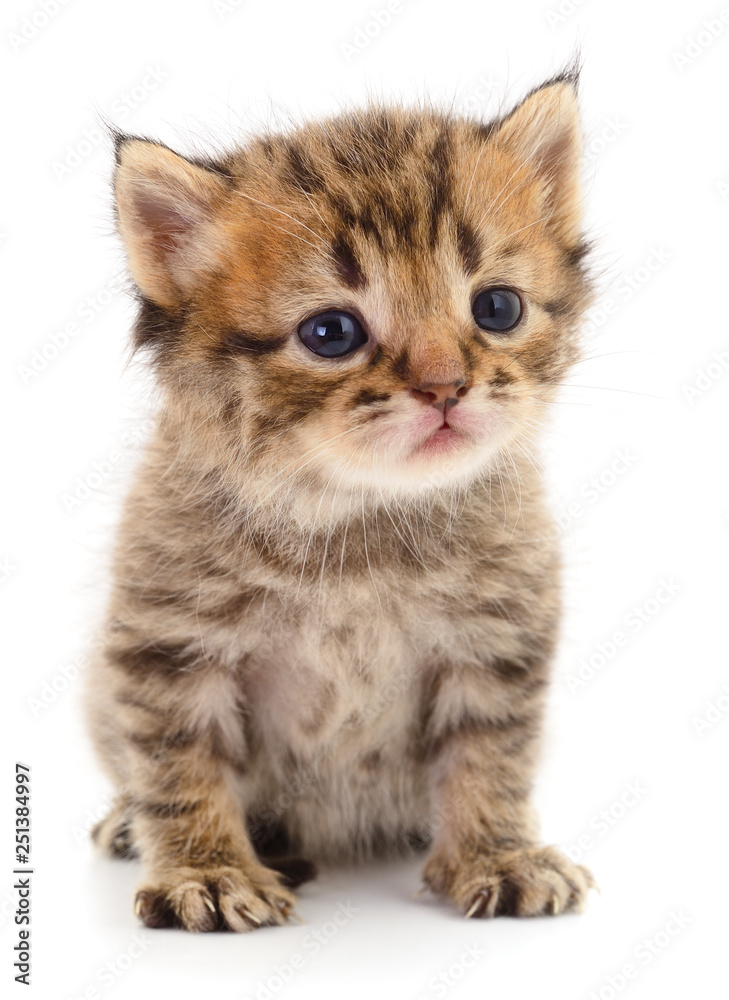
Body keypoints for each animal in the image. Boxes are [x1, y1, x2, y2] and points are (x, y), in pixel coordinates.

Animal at [86, 68, 596, 928]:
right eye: (331, 334)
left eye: (496, 308)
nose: (445, 387)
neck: (360, 516)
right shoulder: (171, 645)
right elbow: (179, 766)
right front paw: (208, 871)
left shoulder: (494, 643)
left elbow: (489, 756)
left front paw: (496, 853)